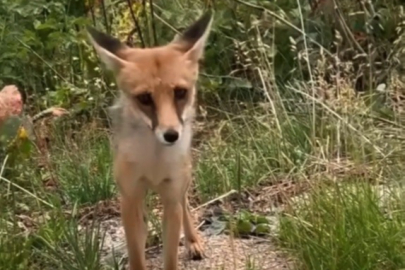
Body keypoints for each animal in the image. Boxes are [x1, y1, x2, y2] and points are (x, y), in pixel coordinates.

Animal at [86, 10, 215, 270]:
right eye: (145, 98)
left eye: (180, 92)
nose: (171, 135)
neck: (154, 163)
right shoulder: (129, 199)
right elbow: (136, 256)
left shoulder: (171, 198)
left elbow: (171, 257)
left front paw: (189, 243)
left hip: (181, 183)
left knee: (185, 204)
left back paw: (193, 241)